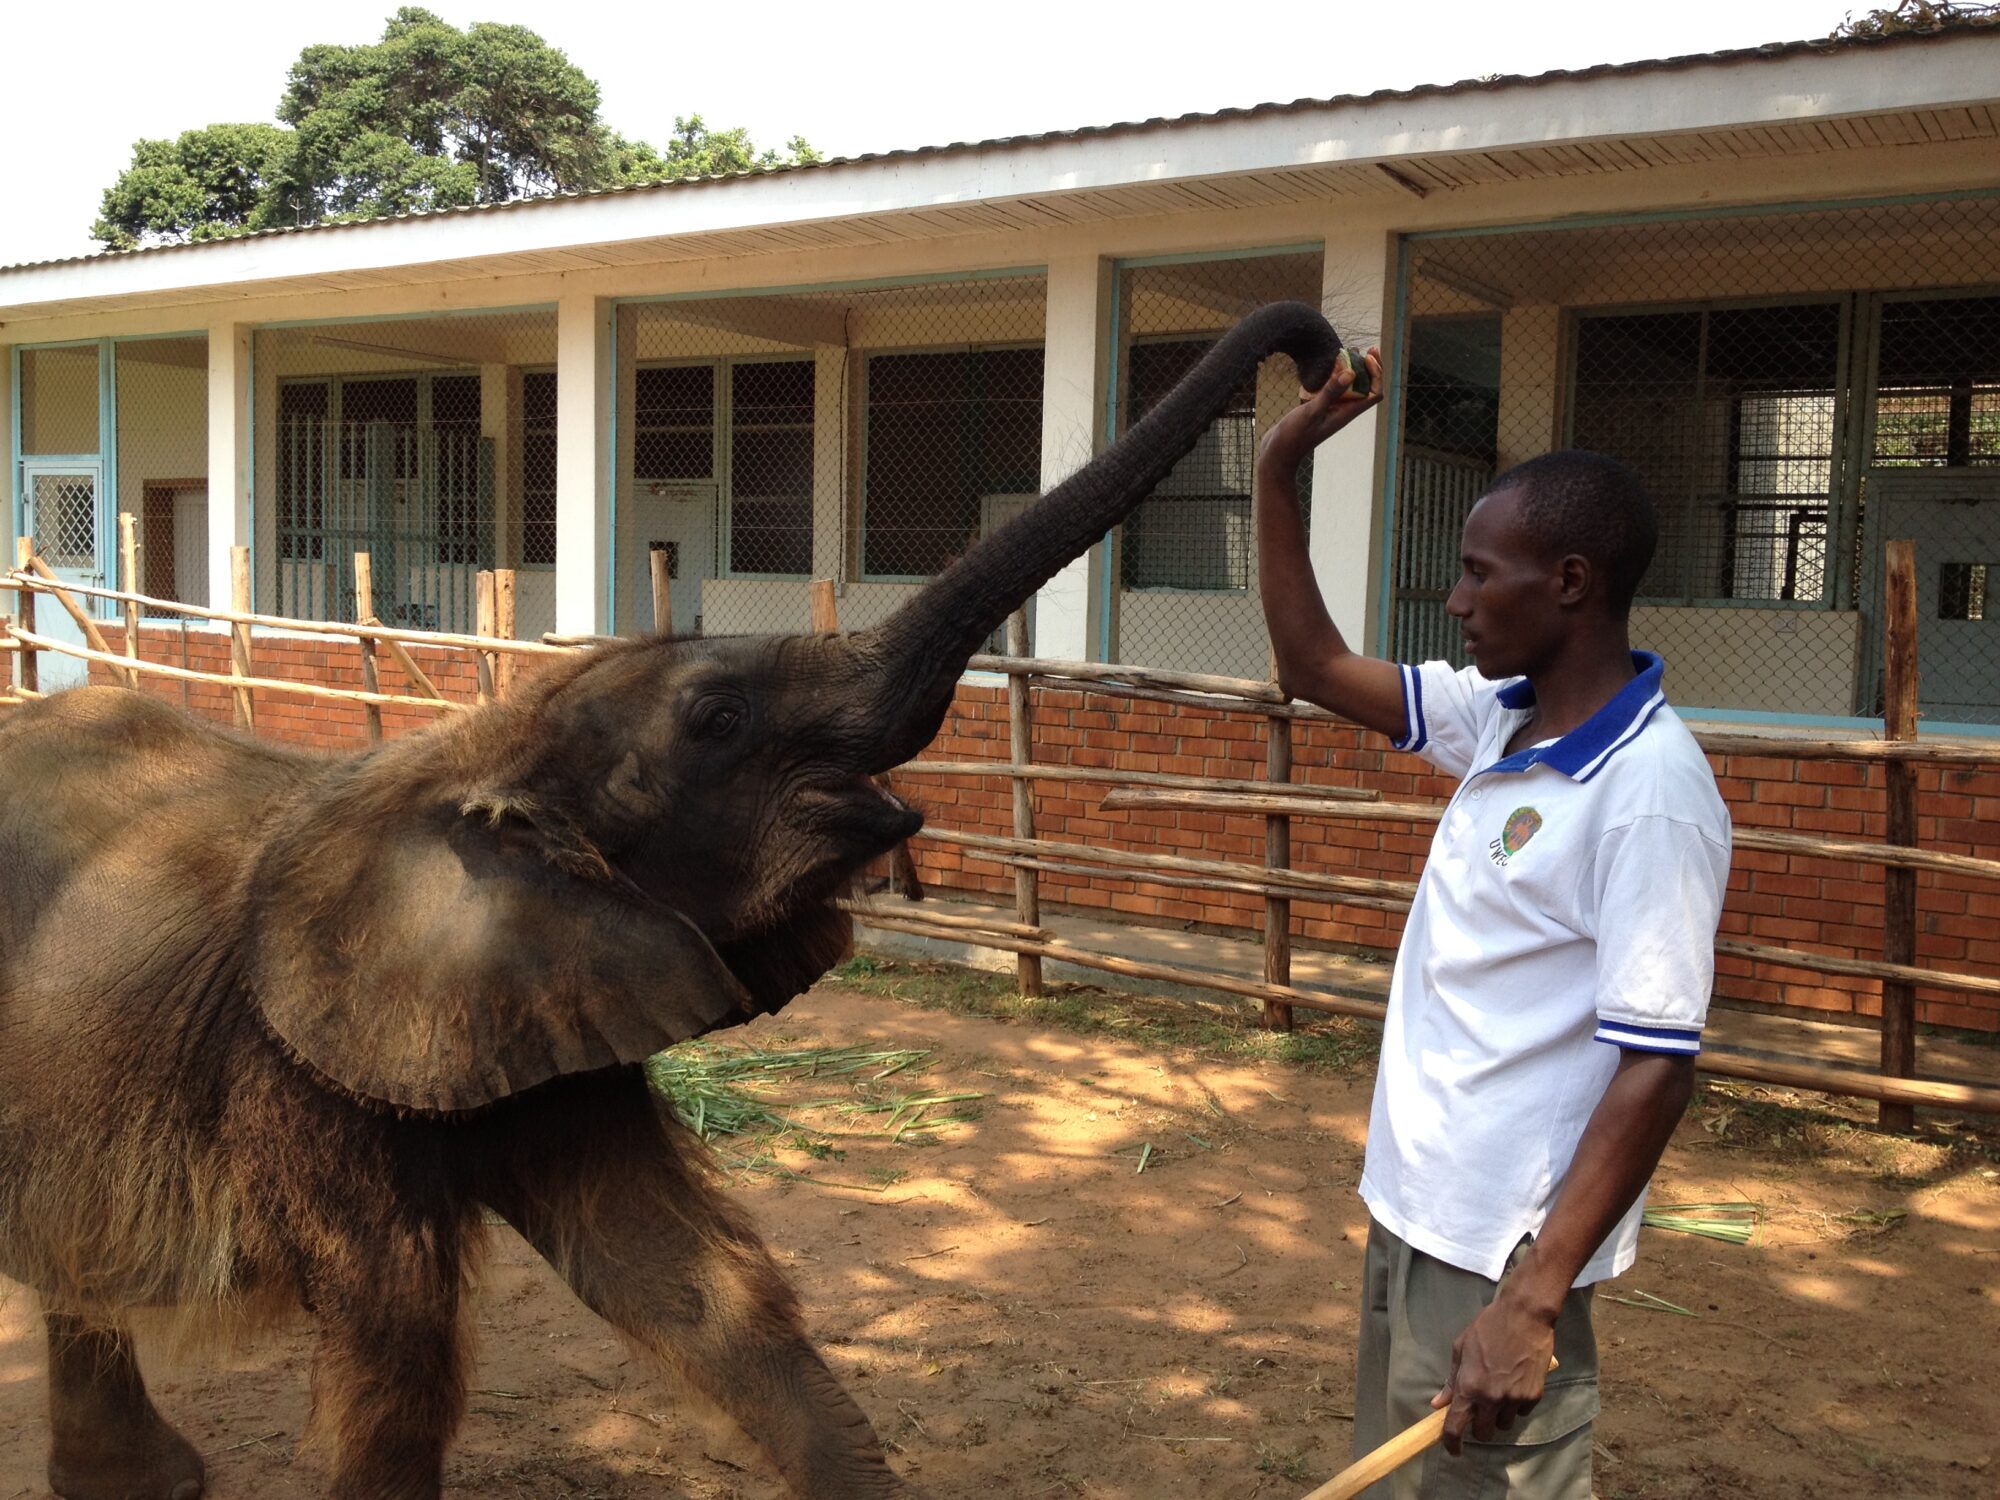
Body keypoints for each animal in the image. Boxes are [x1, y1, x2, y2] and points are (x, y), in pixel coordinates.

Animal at [0, 300, 1344, 1496]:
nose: (1329, 358)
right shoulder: (298, 1068)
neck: (483, 755)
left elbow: (682, 1278)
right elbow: (398, 1341)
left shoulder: (557, 983)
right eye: (717, 719)